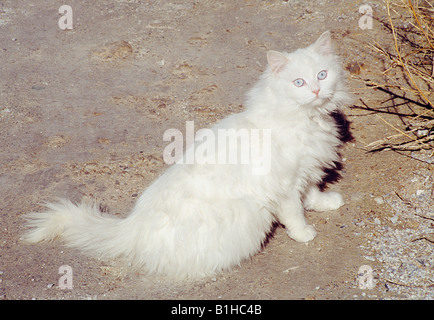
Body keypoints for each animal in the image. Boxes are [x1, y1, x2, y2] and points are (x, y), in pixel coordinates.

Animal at [22, 31, 352, 278]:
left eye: (322, 75)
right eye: (299, 82)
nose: (316, 91)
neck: (308, 119)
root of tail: (132, 226)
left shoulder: (306, 170)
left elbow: (312, 194)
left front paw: (327, 203)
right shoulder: (284, 186)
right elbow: (294, 213)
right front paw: (305, 233)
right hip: (245, 213)